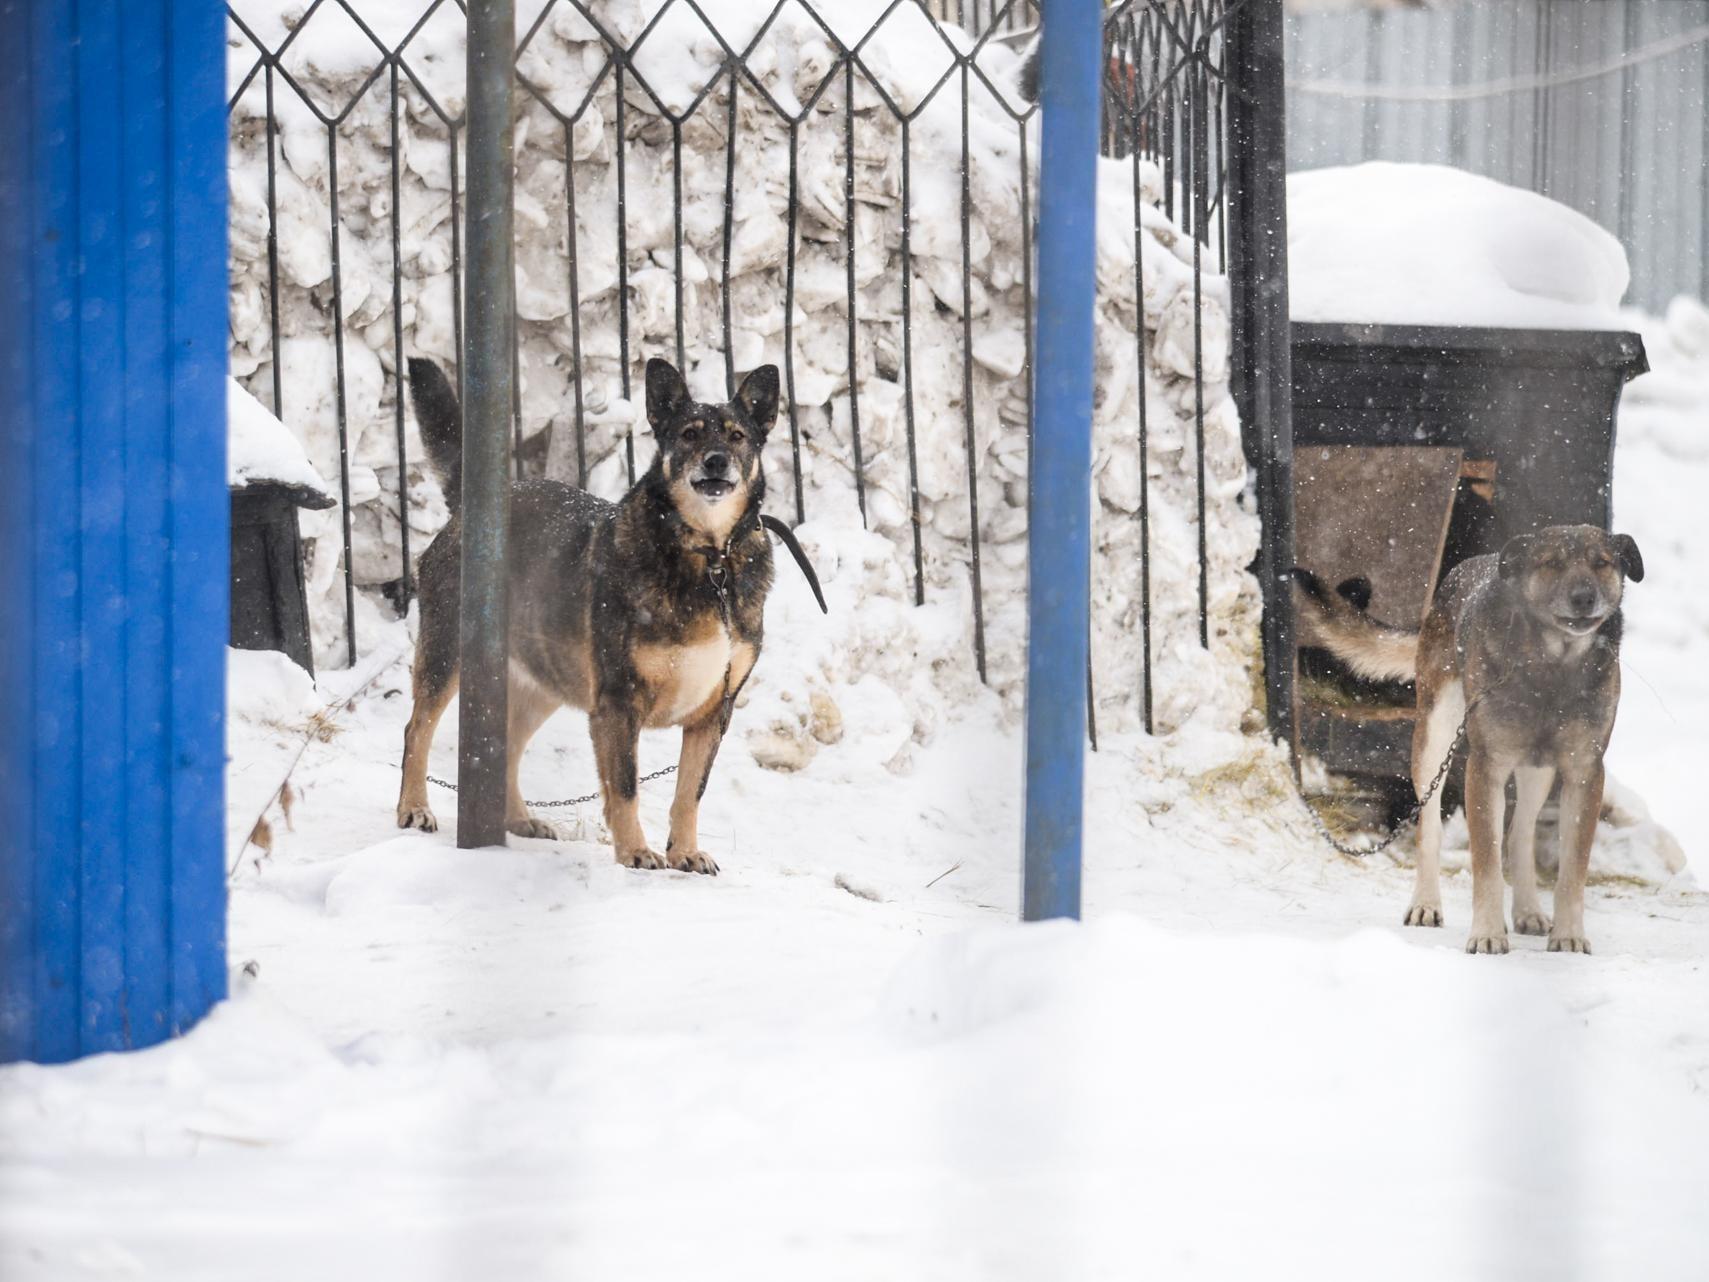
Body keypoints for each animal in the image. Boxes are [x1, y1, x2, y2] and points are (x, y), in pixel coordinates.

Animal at [396, 358, 779, 875]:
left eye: (738, 436)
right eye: (688, 434)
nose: (716, 460)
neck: (711, 559)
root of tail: (473, 505)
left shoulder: (714, 712)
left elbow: (689, 793)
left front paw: (685, 852)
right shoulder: (618, 702)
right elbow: (626, 786)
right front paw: (635, 852)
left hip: (545, 680)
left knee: (506, 745)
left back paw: (519, 820)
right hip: (447, 652)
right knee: (418, 729)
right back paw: (414, 807)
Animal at [1292, 523, 1640, 957]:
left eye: (1601, 563)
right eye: (1552, 563)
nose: (1584, 598)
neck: (1552, 668)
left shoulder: (1584, 772)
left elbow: (1572, 870)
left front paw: (1569, 935)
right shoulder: (1485, 768)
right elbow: (1486, 863)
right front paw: (1488, 933)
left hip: (1537, 767)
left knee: (1520, 833)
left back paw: (1528, 909)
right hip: (1435, 736)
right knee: (1430, 827)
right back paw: (1425, 904)